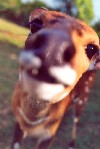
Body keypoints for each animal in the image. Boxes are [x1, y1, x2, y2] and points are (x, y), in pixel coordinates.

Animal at [11, 8, 99, 149]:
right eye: (35, 24)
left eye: (92, 48)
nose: (54, 46)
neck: (31, 122)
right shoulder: (19, 123)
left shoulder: (49, 134)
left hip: (83, 100)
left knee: (76, 121)